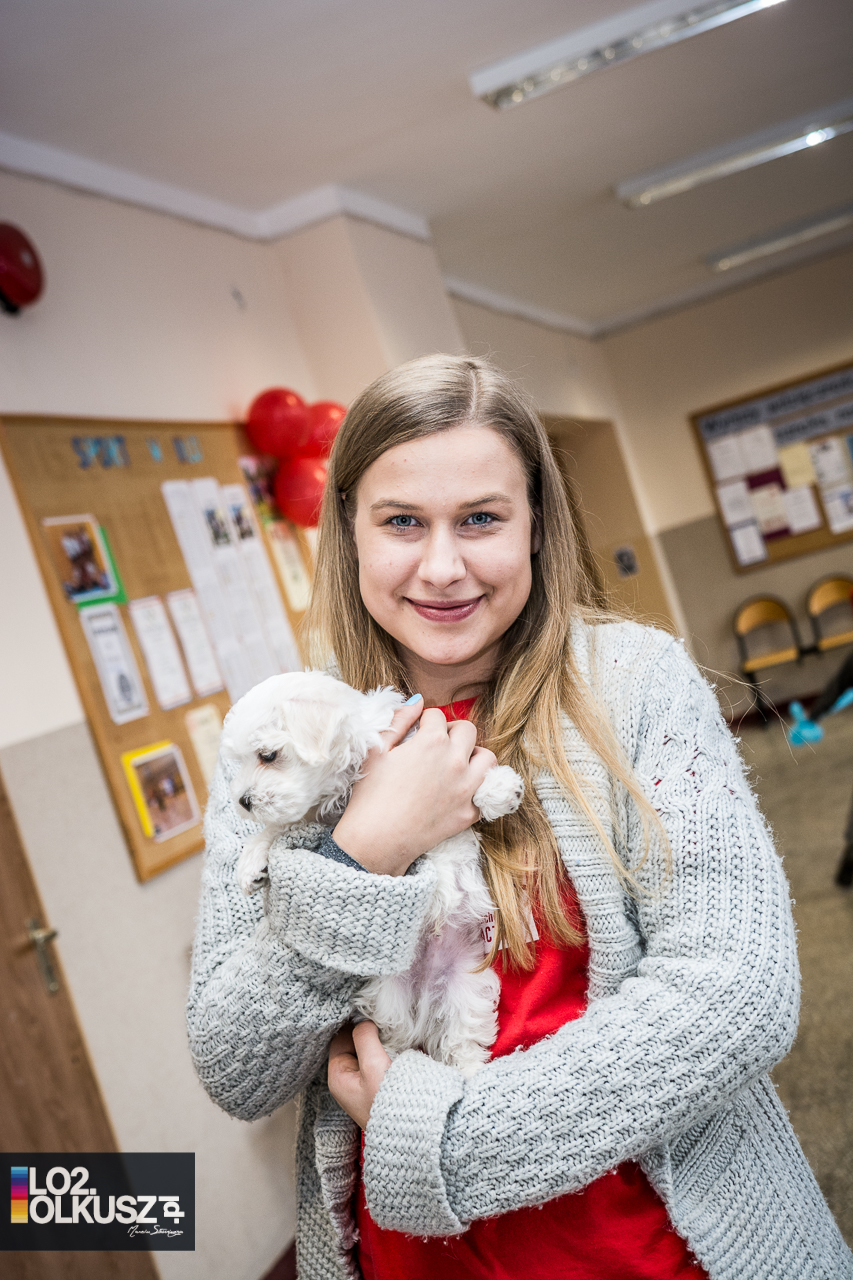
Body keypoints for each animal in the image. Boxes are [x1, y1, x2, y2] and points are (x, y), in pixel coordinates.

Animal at [221, 670, 524, 1076]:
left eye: (267, 755)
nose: (243, 801)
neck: (347, 780)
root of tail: (424, 995)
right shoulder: (322, 816)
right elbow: (282, 826)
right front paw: (252, 861)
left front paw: (498, 789)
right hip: (387, 995)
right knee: (397, 1033)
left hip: (465, 987)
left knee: (462, 1038)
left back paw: (470, 1072)